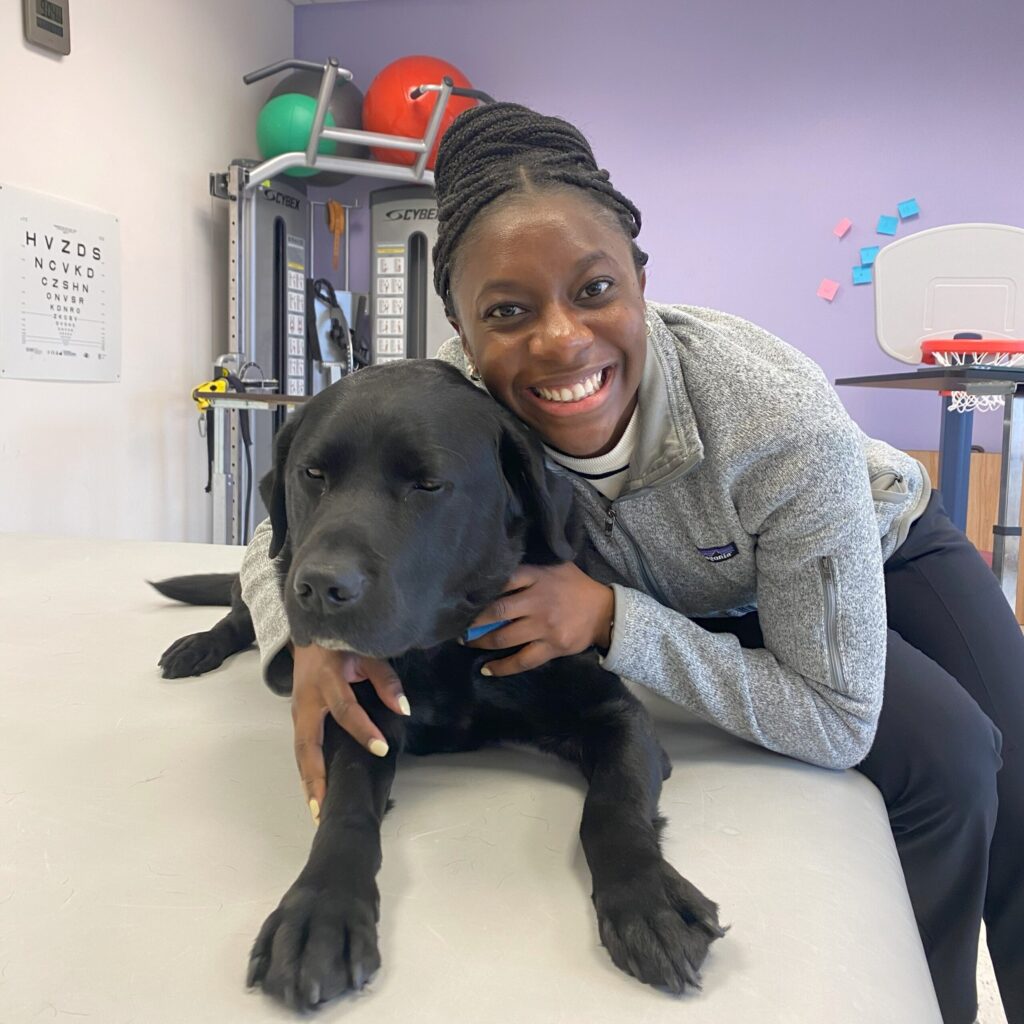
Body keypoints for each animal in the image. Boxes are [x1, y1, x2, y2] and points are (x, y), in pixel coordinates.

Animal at [153, 360, 729, 1007]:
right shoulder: (357, 713)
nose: (321, 587)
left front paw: (648, 899)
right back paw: (198, 647)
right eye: (314, 475)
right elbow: (345, 811)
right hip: (273, 569)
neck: (446, 648)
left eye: (427, 485)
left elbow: (611, 807)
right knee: (238, 609)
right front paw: (319, 913)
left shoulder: (617, 714)